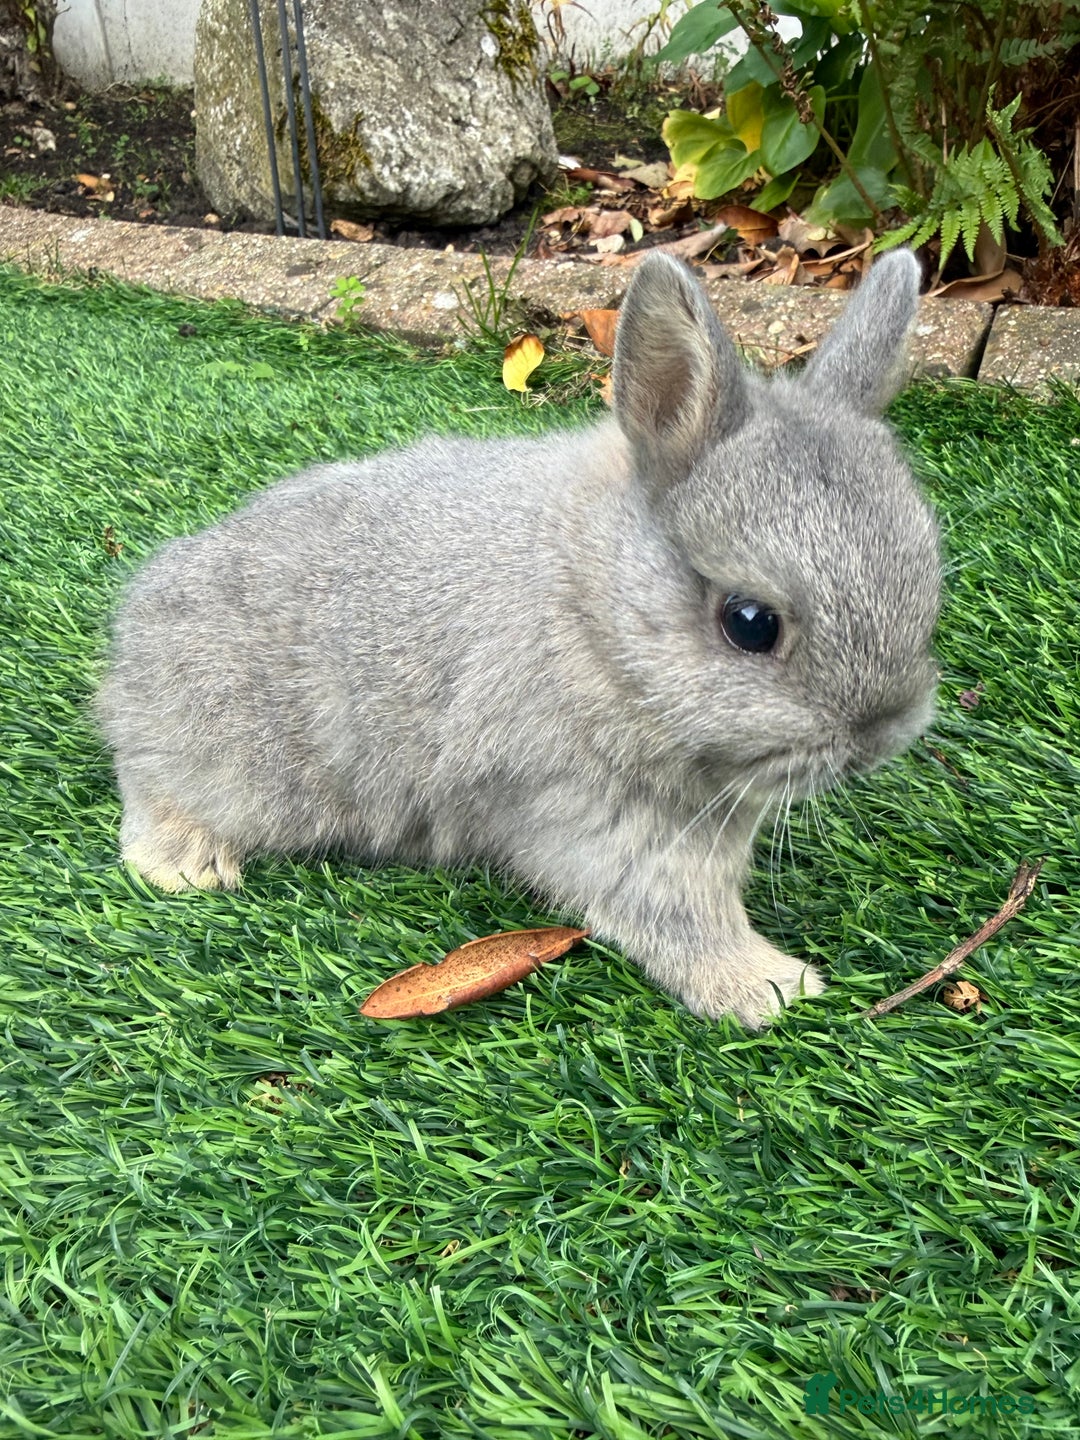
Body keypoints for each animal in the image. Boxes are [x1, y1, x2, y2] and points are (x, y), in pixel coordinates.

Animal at [96, 248, 941, 1028]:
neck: (596, 611)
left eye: (928, 575)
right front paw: (771, 988)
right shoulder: (596, 816)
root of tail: (131, 644)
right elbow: (677, 914)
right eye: (750, 624)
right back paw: (188, 866)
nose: (883, 734)